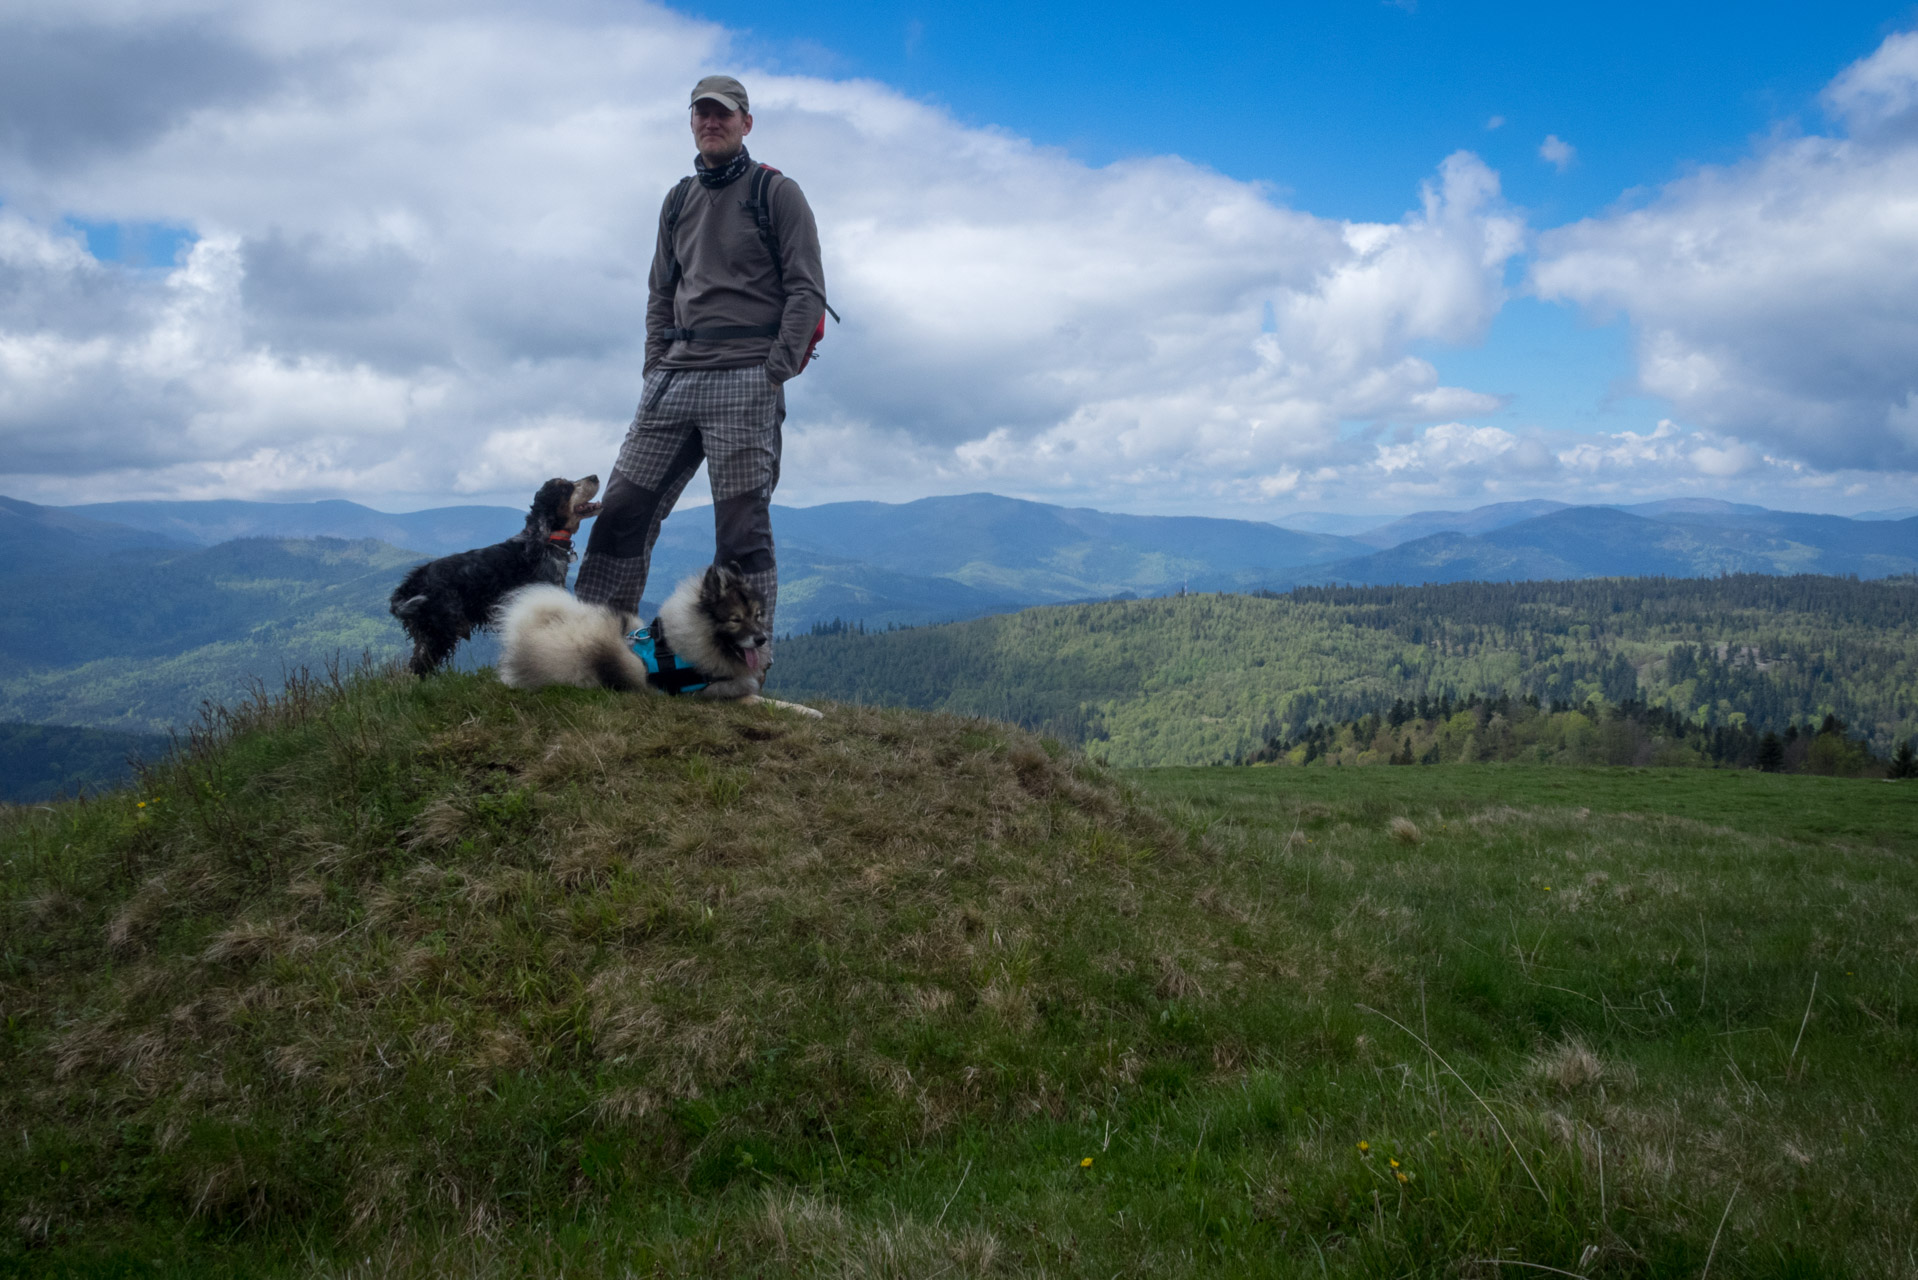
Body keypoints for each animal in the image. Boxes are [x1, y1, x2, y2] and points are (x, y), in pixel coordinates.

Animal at [389, 475, 598, 675]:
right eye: (565, 487)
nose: (595, 477)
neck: (546, 542)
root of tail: (411, 583)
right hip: (439, 630)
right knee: (420, 666)